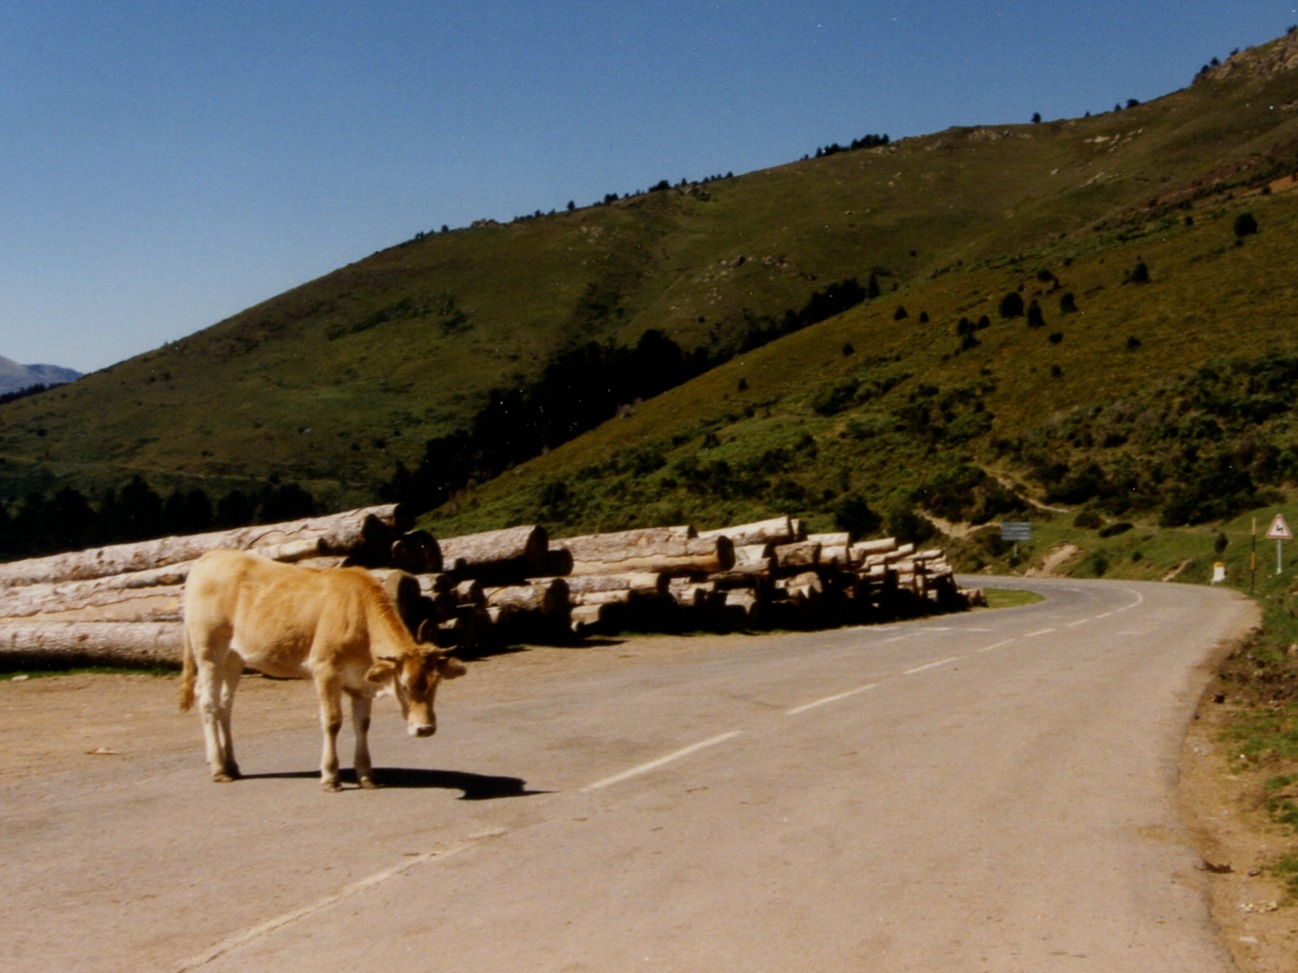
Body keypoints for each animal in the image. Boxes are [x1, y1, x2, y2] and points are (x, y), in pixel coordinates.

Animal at [177, 550, 467, 793]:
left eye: (436, 683)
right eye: (404, 685)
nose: (425, 729)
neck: (360, 616)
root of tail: (211, 555)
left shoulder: (361, 681)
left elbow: (362, 724)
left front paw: (366, 775)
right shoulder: (325, 670)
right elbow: (332, 721)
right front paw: (330, 776)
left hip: (234, 656)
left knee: (225, 704)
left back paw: (231, 764)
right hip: (208, 649)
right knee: (208, 702)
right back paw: (219, 768)